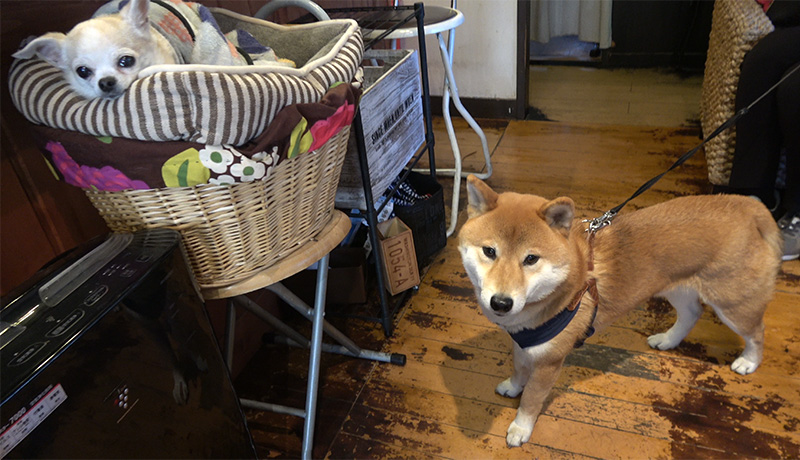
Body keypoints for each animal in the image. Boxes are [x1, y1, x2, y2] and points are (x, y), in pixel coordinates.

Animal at [456, 175, 780, 446]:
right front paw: (513, 386)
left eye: (531, 259)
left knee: (758, 332)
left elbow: (532, 400)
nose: (501, 303)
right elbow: (519, 369)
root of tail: (748, 204)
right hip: (677, 289)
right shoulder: (525, 343)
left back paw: (748, 362)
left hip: (733, 306)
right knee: (691, 314)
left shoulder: (549, 362)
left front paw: (521, 428)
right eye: (489, 251)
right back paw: (668, 340)